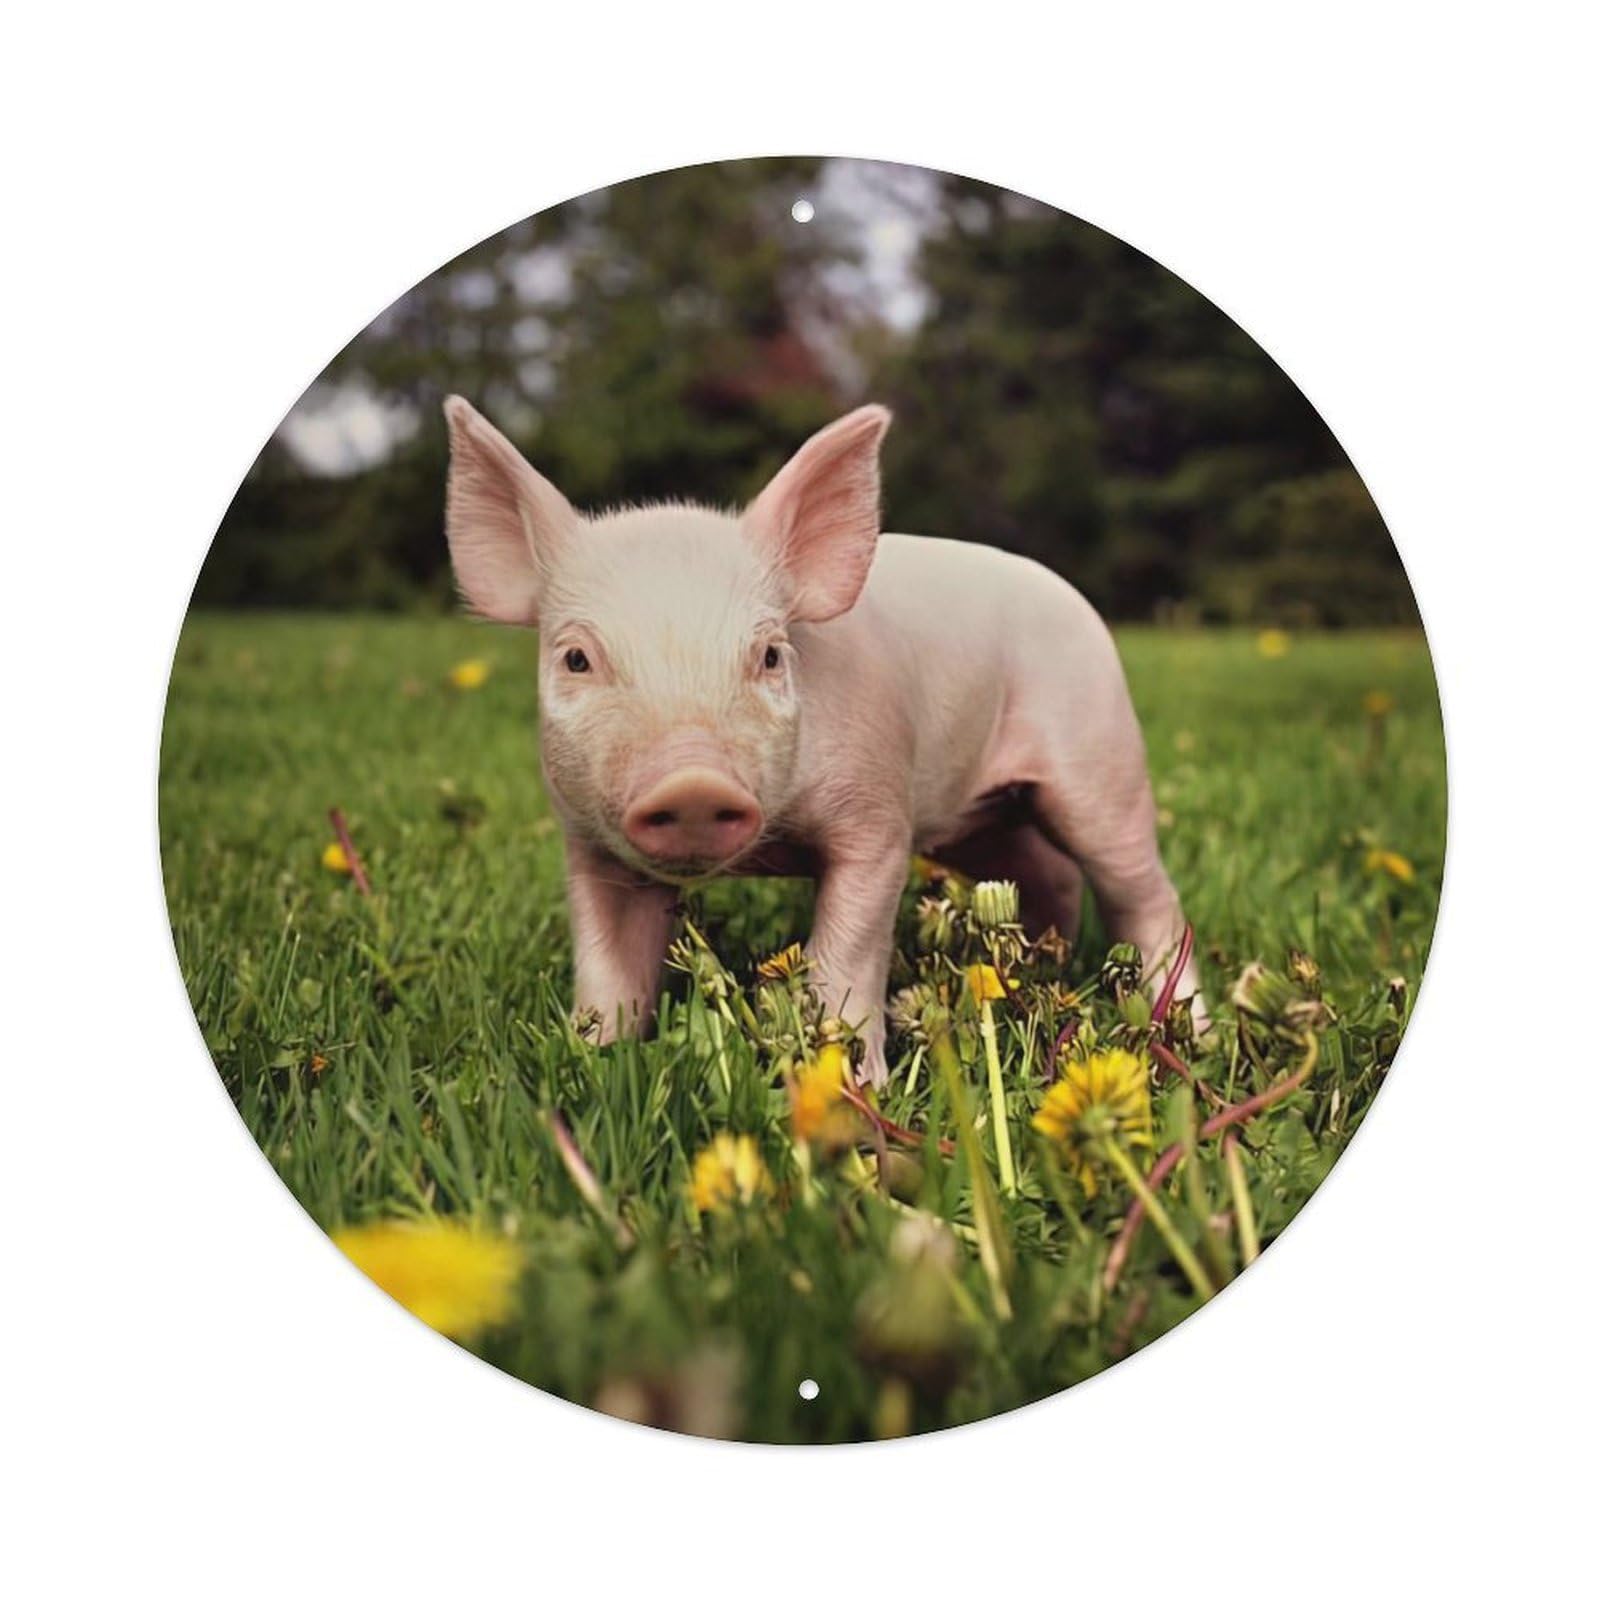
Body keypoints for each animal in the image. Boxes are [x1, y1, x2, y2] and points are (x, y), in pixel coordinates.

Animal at [442, 397, 1199, 1084]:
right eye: (576, 659)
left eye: (771, 655)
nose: (693, 782)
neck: (769, 853)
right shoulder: (587, 841)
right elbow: (609, 965)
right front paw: (591, 1060)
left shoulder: (879, 817)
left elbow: (847, 949)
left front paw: (851, 1085)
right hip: (986, 819)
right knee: (1048, 875)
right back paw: (1038, 973)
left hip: (1101, 758)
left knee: (1143, 892)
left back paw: (1190, 1027)